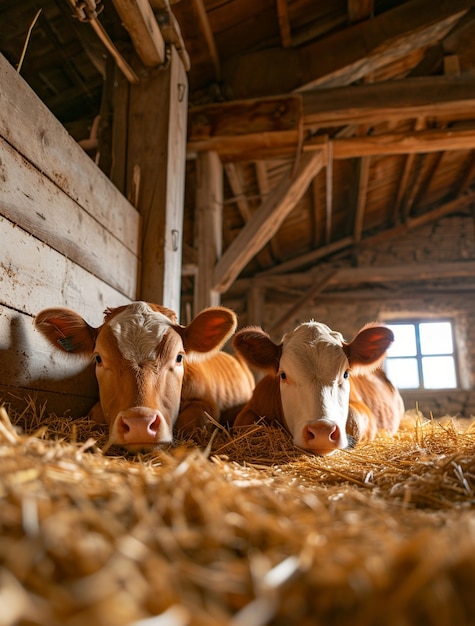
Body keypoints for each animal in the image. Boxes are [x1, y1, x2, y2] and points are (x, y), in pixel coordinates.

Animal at [34, 302, 255, 448]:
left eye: (179, 357)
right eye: (98, 358)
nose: (139, 424)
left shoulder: (207, 404)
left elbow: (193, 420)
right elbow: (95, 414)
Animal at [232, 322, 404, 454]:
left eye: (346, 374)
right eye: (283, 375)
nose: (322, 432)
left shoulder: (366, 413)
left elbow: (354, 417)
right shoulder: (250, 408)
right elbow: (245, 425)